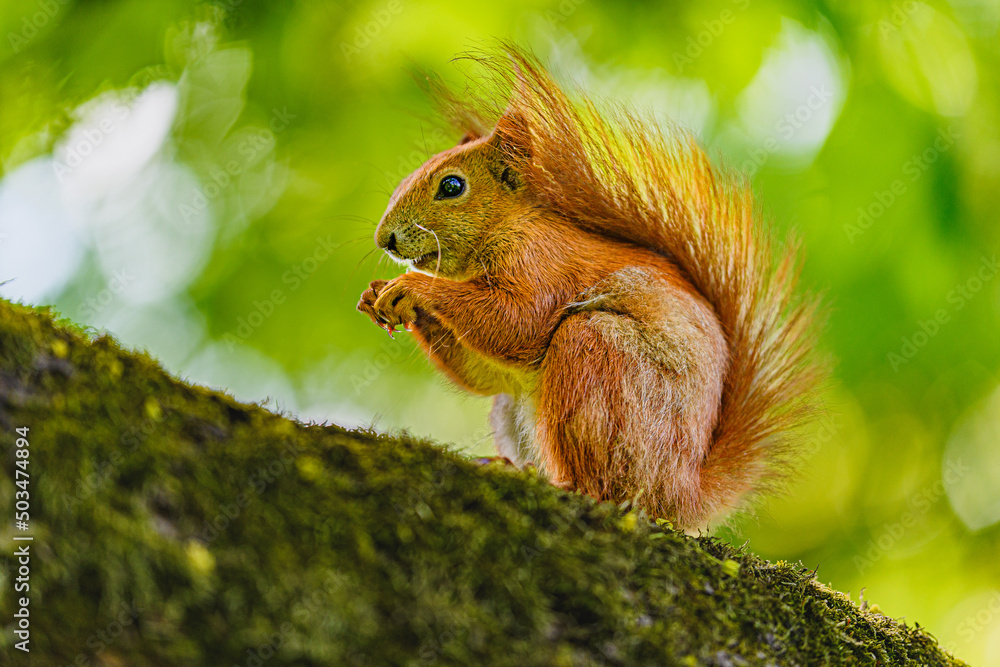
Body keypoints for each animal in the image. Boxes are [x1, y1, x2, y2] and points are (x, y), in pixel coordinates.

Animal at [357, 47, 824, 529]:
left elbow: (517, 323)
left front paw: (414, 287)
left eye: (452, 186)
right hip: (516, 408)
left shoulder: (542, 264)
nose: (384, 239)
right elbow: (485, 374)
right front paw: (378, 294)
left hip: (596, 360)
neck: (511, 225)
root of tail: (681, 492)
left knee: (605, 484)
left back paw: (563, 485)